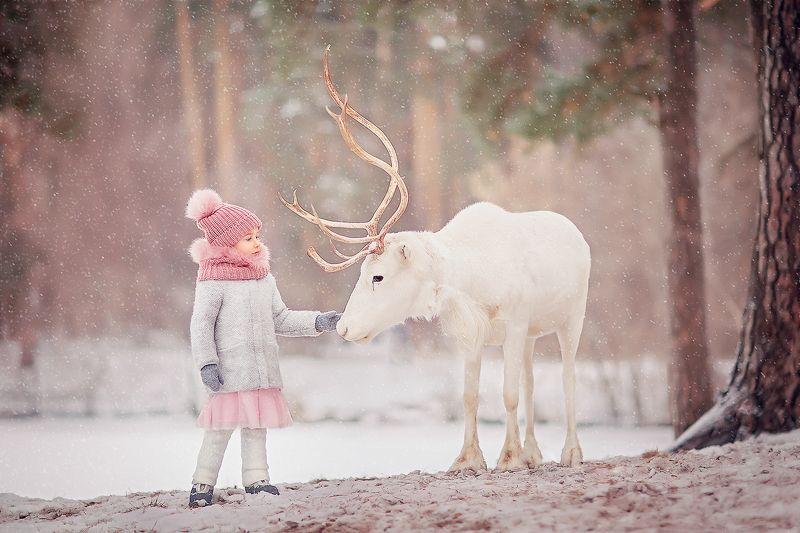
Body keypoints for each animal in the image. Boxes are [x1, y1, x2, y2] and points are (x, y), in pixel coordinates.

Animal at [280, 47, 590, 471]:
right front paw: (468, 459)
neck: (470, 280)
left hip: (571, 317)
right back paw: (533, 452)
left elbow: (507, 394)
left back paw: (570, 452)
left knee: (567, 377)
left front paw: (507, 458)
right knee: (530, 380)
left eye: (377, 276)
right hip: (532, 334)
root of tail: (578, 234)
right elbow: (471, 397)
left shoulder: (513, 323)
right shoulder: (474, 333)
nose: (343, 327)